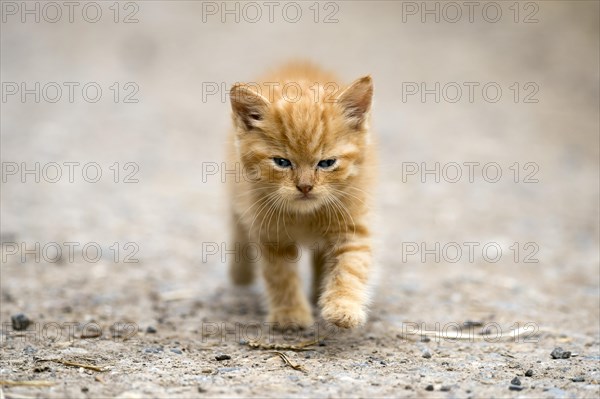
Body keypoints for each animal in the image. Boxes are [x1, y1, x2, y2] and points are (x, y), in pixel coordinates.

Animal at [226, 62, 372, 330]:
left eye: (327, 163)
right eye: (282, 162)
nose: (305, 187)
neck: (305, 216)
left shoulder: (353, 224)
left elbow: (351, 265)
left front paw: (342, 307)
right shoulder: (270, 234)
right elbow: (280, 275)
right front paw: (290, 314)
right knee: (237, 228)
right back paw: (240, 274)